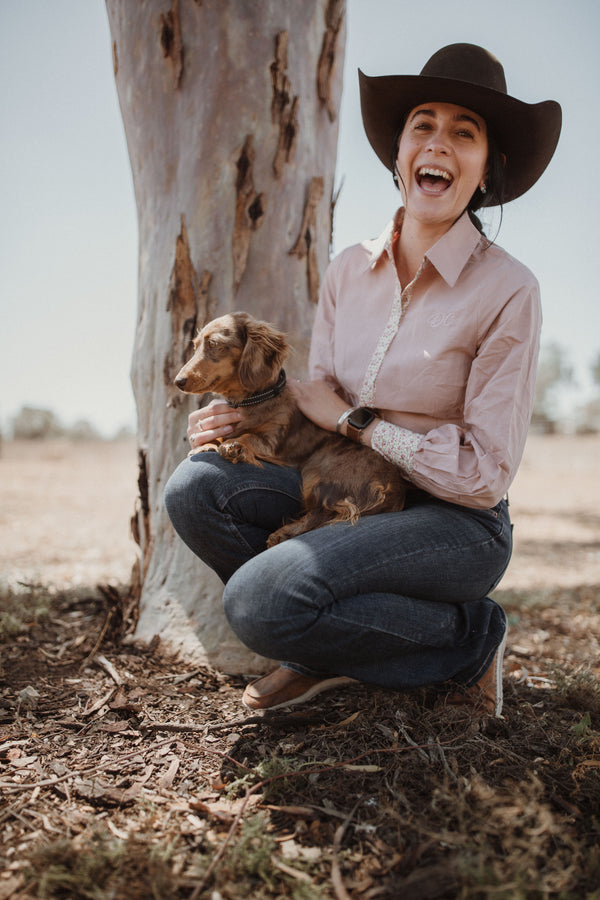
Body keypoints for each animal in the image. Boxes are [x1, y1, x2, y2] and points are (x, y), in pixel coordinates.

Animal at [175, 312, 408, 544]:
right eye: (195, 346)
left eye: (214, 344)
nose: (178, 381)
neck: (252, 401)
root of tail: (393, 488)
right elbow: (219, 433)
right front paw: (205, 445)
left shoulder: (273, 438)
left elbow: (249, 436)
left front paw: (234, 445)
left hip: (321, 474)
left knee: (324, 512)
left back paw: (284, 533)